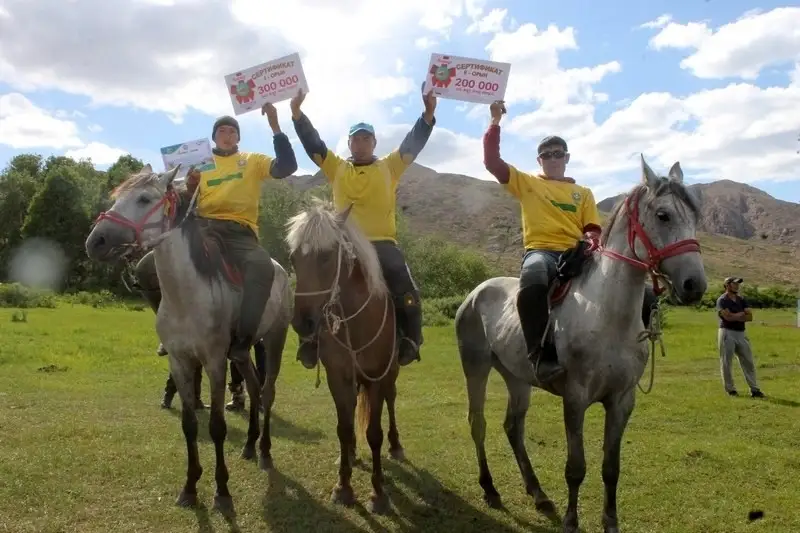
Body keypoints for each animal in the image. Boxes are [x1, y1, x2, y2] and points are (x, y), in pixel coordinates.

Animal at [83, 165, 294, 516]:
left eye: (144, 198)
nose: (95, 241)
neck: (187, 296)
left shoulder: (214, 363)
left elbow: (217, 426)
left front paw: (222, 492)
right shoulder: (180, 362)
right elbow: (190, 425)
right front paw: (190, 487)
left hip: (273, 340)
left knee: (267, 391)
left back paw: (264, 451)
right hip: (241, 353)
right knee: (252, 387)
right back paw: (250, 446)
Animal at [284, 197, 406, 512]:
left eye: (327, 256)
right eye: (293, 258)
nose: (303, 323)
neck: (356, 320)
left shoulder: (376, 377)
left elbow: (374, 433)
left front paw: (378, 493)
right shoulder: (337, 376)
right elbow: (343, 426)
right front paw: (343, 487)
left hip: (391, 373)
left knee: (391, 400)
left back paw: (396, 445)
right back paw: (349, 453)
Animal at [454, 155, 708, 532]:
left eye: (694, 216)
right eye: (663, 215)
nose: (695, 284)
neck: (606, 314)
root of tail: (476, 292)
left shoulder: (621, 401)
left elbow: (611, 468)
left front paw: (611, 522)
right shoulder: (575, 398)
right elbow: (576, 468)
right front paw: (571, 521)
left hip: (517, 378)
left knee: (513, 427)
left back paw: (538, 494)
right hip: (476, 368)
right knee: (478, 423)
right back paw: (490, 489)